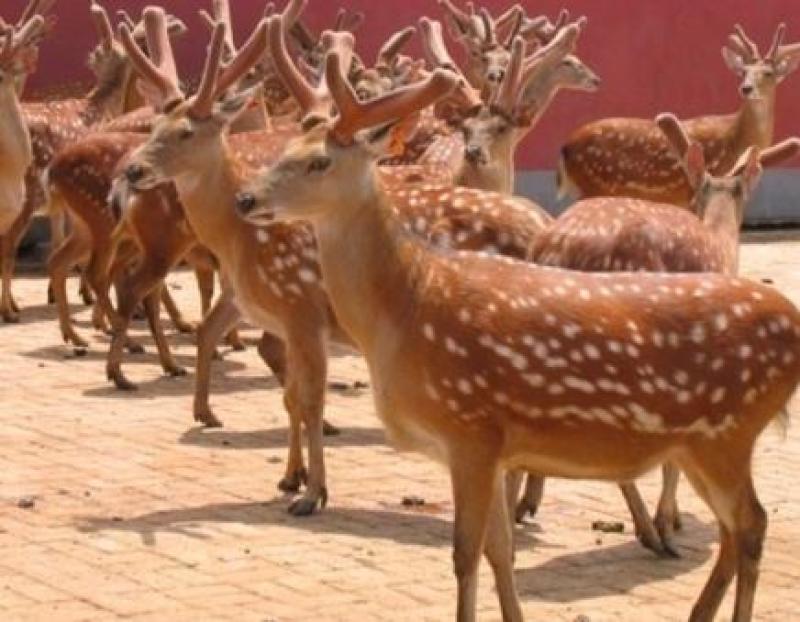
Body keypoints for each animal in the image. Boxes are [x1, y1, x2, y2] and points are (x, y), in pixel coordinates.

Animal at [239, 42, 800, 622]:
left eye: (318, 161)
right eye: (286, 146)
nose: (245, 199)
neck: (406, 309)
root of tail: (794, 323)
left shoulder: (471, 429)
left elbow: (464, 553)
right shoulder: (496, 446)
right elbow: (499, 548)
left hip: (727, 433)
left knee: (752, 523)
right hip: (699, 443)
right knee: (735, 529)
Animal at [558, 23, 800, 205]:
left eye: (768, 73)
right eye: (743, 72)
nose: (746, 88)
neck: (736, 140)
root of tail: (565, 148)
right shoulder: (698, 188)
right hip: (594, 183)